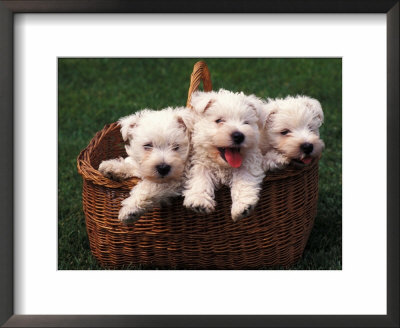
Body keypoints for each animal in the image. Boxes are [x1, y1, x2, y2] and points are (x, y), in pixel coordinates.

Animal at [184, 88, 266, 222]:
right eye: (219, 121)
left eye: (246, 123)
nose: (239, 136)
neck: (223, 166)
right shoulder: (199, 162)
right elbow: (200, 176)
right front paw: (199, 201)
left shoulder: (249, 162)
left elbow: (243, 179)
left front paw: (243, 206)